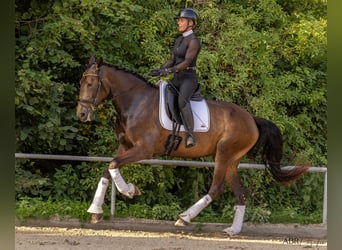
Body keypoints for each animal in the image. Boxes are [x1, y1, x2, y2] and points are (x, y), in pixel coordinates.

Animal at [75, 55, 308, 235]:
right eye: (81, 83)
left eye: (90, 84)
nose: (82, 114)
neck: (135, 101)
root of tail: (251, 119)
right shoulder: (125, 146)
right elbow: (108, 169)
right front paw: (95, 211)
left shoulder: (144, 149)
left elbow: (113, 165)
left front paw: (130, 190)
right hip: (232, 160)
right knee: (240, 192)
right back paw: (233, 230)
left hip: (223, 153)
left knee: (216, 188)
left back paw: (185, 217)